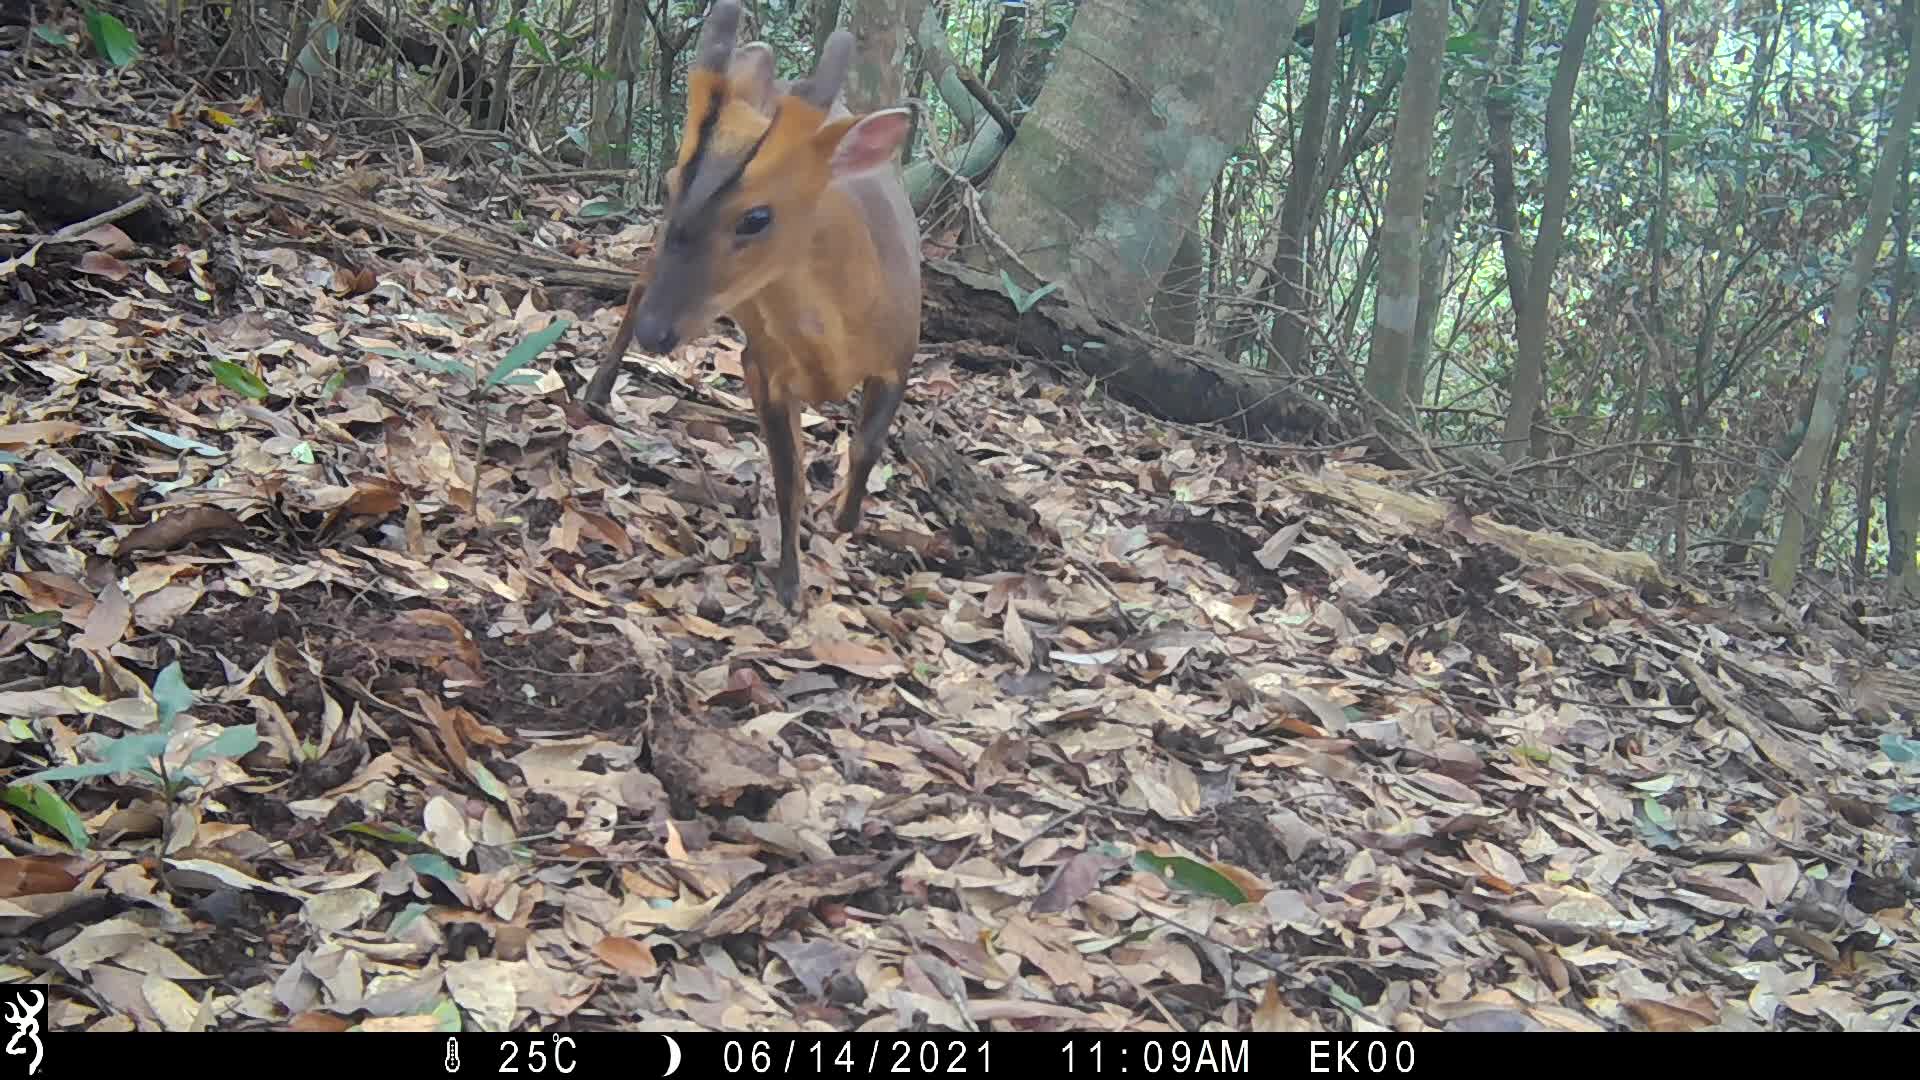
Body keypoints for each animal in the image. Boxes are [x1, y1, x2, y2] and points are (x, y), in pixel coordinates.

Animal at [576, 0, 921, 607]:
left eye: (757, 217)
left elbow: (867, 446)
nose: (658, 333)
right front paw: (789, 583)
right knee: (638, 284)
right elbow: (788, 478)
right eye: (669, 184)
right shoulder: (761, 364)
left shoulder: (901, 353)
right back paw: (597, 391)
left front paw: (845, 521)